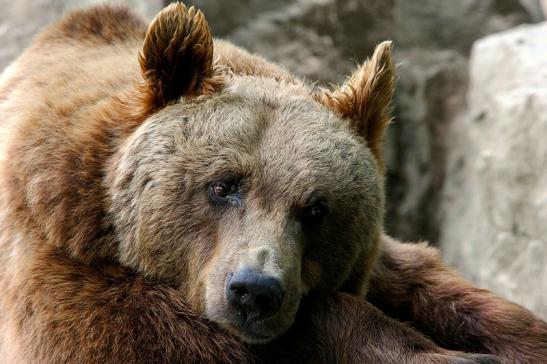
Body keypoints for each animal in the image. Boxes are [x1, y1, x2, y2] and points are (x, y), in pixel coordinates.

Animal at [0, 2, 544, 364]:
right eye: (222, 186)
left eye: (316, 209)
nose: (254, 291)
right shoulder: (62, 257)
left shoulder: (376, 260)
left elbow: (440, 286)